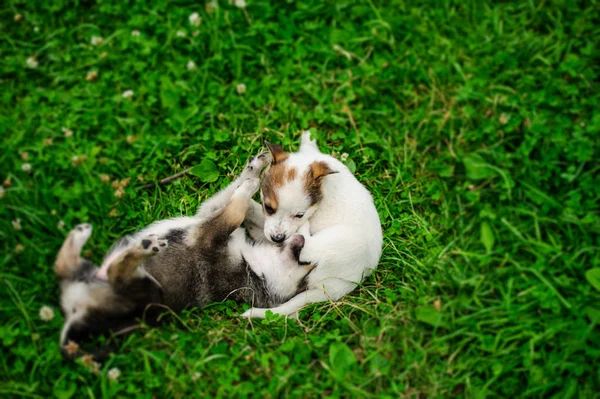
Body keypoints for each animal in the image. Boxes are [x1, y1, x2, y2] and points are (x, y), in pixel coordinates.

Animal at [55, 153, 314, 360]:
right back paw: (80, 235)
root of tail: (77, 313)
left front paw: (251, 185)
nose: (302, 240)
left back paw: (144, 247)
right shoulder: (208, 215)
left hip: (148, 292)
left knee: (114, 270)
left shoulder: (208, 233)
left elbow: (234, 211)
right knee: (62, 269)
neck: (251, 264)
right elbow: (231, 195)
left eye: (305, 263)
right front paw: (256, 167)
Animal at [241, 133, 382, 320]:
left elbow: (255, 210)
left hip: (331, 242)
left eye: (299, 215)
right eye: (269, 208)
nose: (278, 238)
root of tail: (345, 283)